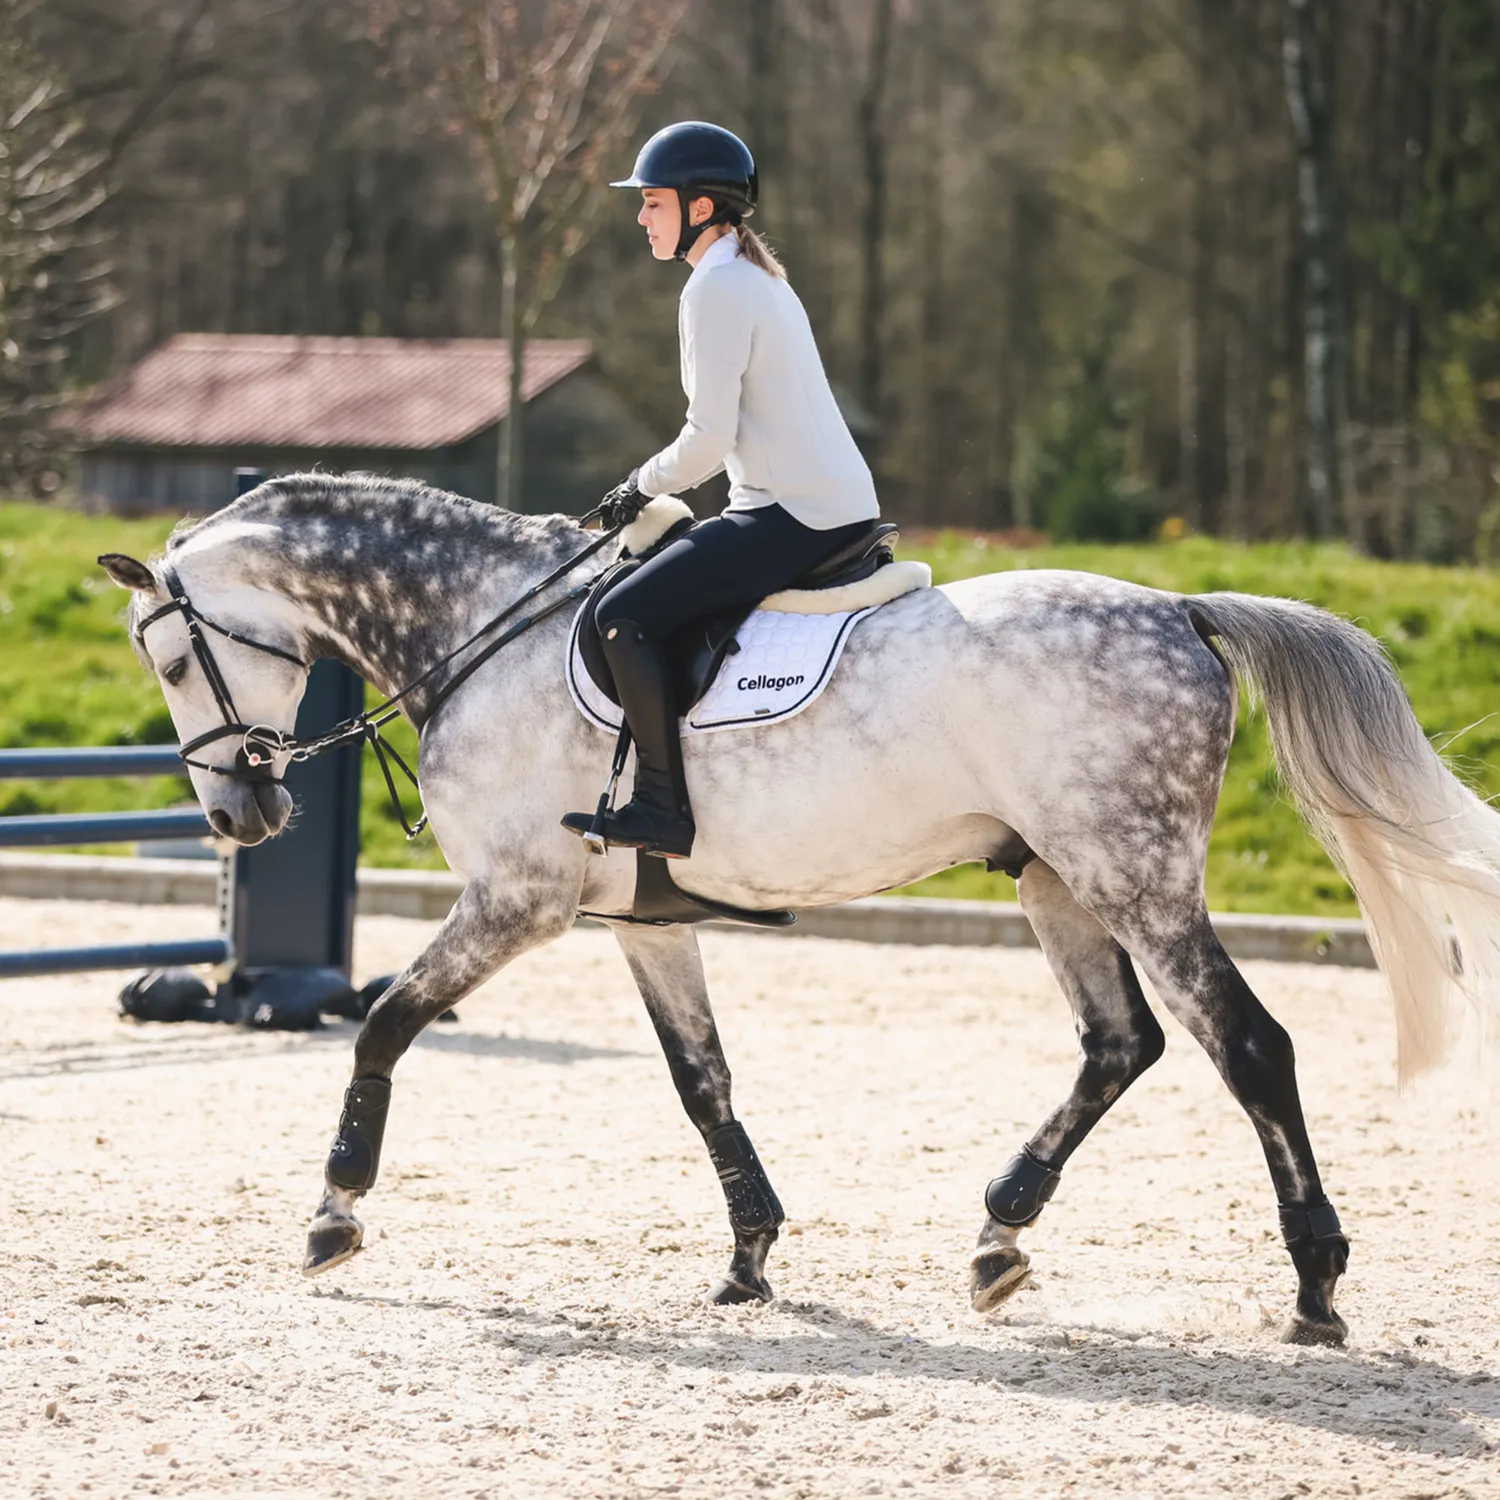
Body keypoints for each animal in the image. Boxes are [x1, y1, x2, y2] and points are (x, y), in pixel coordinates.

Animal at [99, 473, 1500, 1346]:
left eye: (168, 656)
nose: (236, 816)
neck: (478, 632)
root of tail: (1181, 609)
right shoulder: (645, 924)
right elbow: (701, 1082)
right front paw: (750, 1256)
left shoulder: (516, 902)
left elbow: (385, 1020)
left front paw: (335, 1213)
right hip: (1056, 876)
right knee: (1122, 1044)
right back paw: (999, 1236)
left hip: (1135, 874)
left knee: (1247, 1046)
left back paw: (1314, 1288)